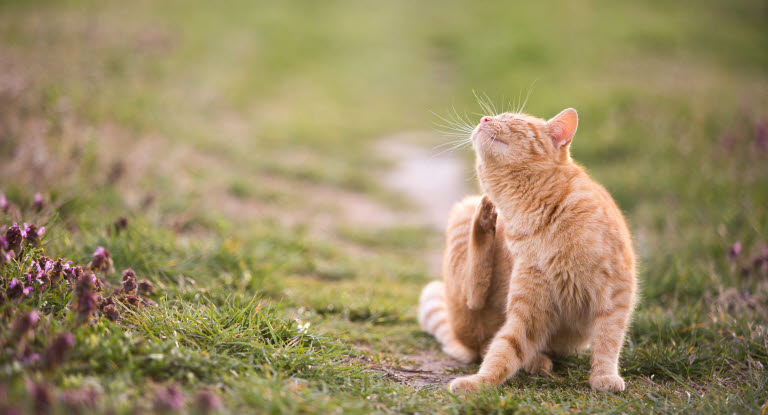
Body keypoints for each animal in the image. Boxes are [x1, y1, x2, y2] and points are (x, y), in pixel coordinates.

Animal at [420, 107, 636, 394]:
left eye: (512, 119)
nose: (484, 119)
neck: (532, 213)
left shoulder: (615, 292)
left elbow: (608, 339)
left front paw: (604, 377)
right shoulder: (528, 308)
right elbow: (503, 350)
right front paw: (478, 382)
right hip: (463, 214)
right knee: (475, 302)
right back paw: (485, 219)